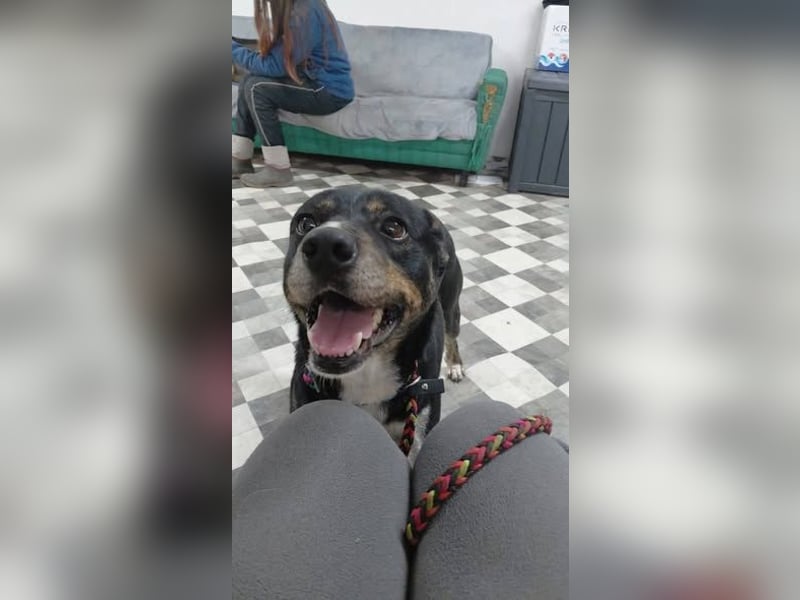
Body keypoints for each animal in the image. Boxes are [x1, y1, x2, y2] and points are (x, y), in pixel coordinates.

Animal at [283, 186, 464, 453]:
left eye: (394, 228)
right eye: (305, 223)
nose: (324, 244)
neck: (367, 374)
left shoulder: (419, 423)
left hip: (451, 306)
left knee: (453, 335)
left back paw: (455, 364)